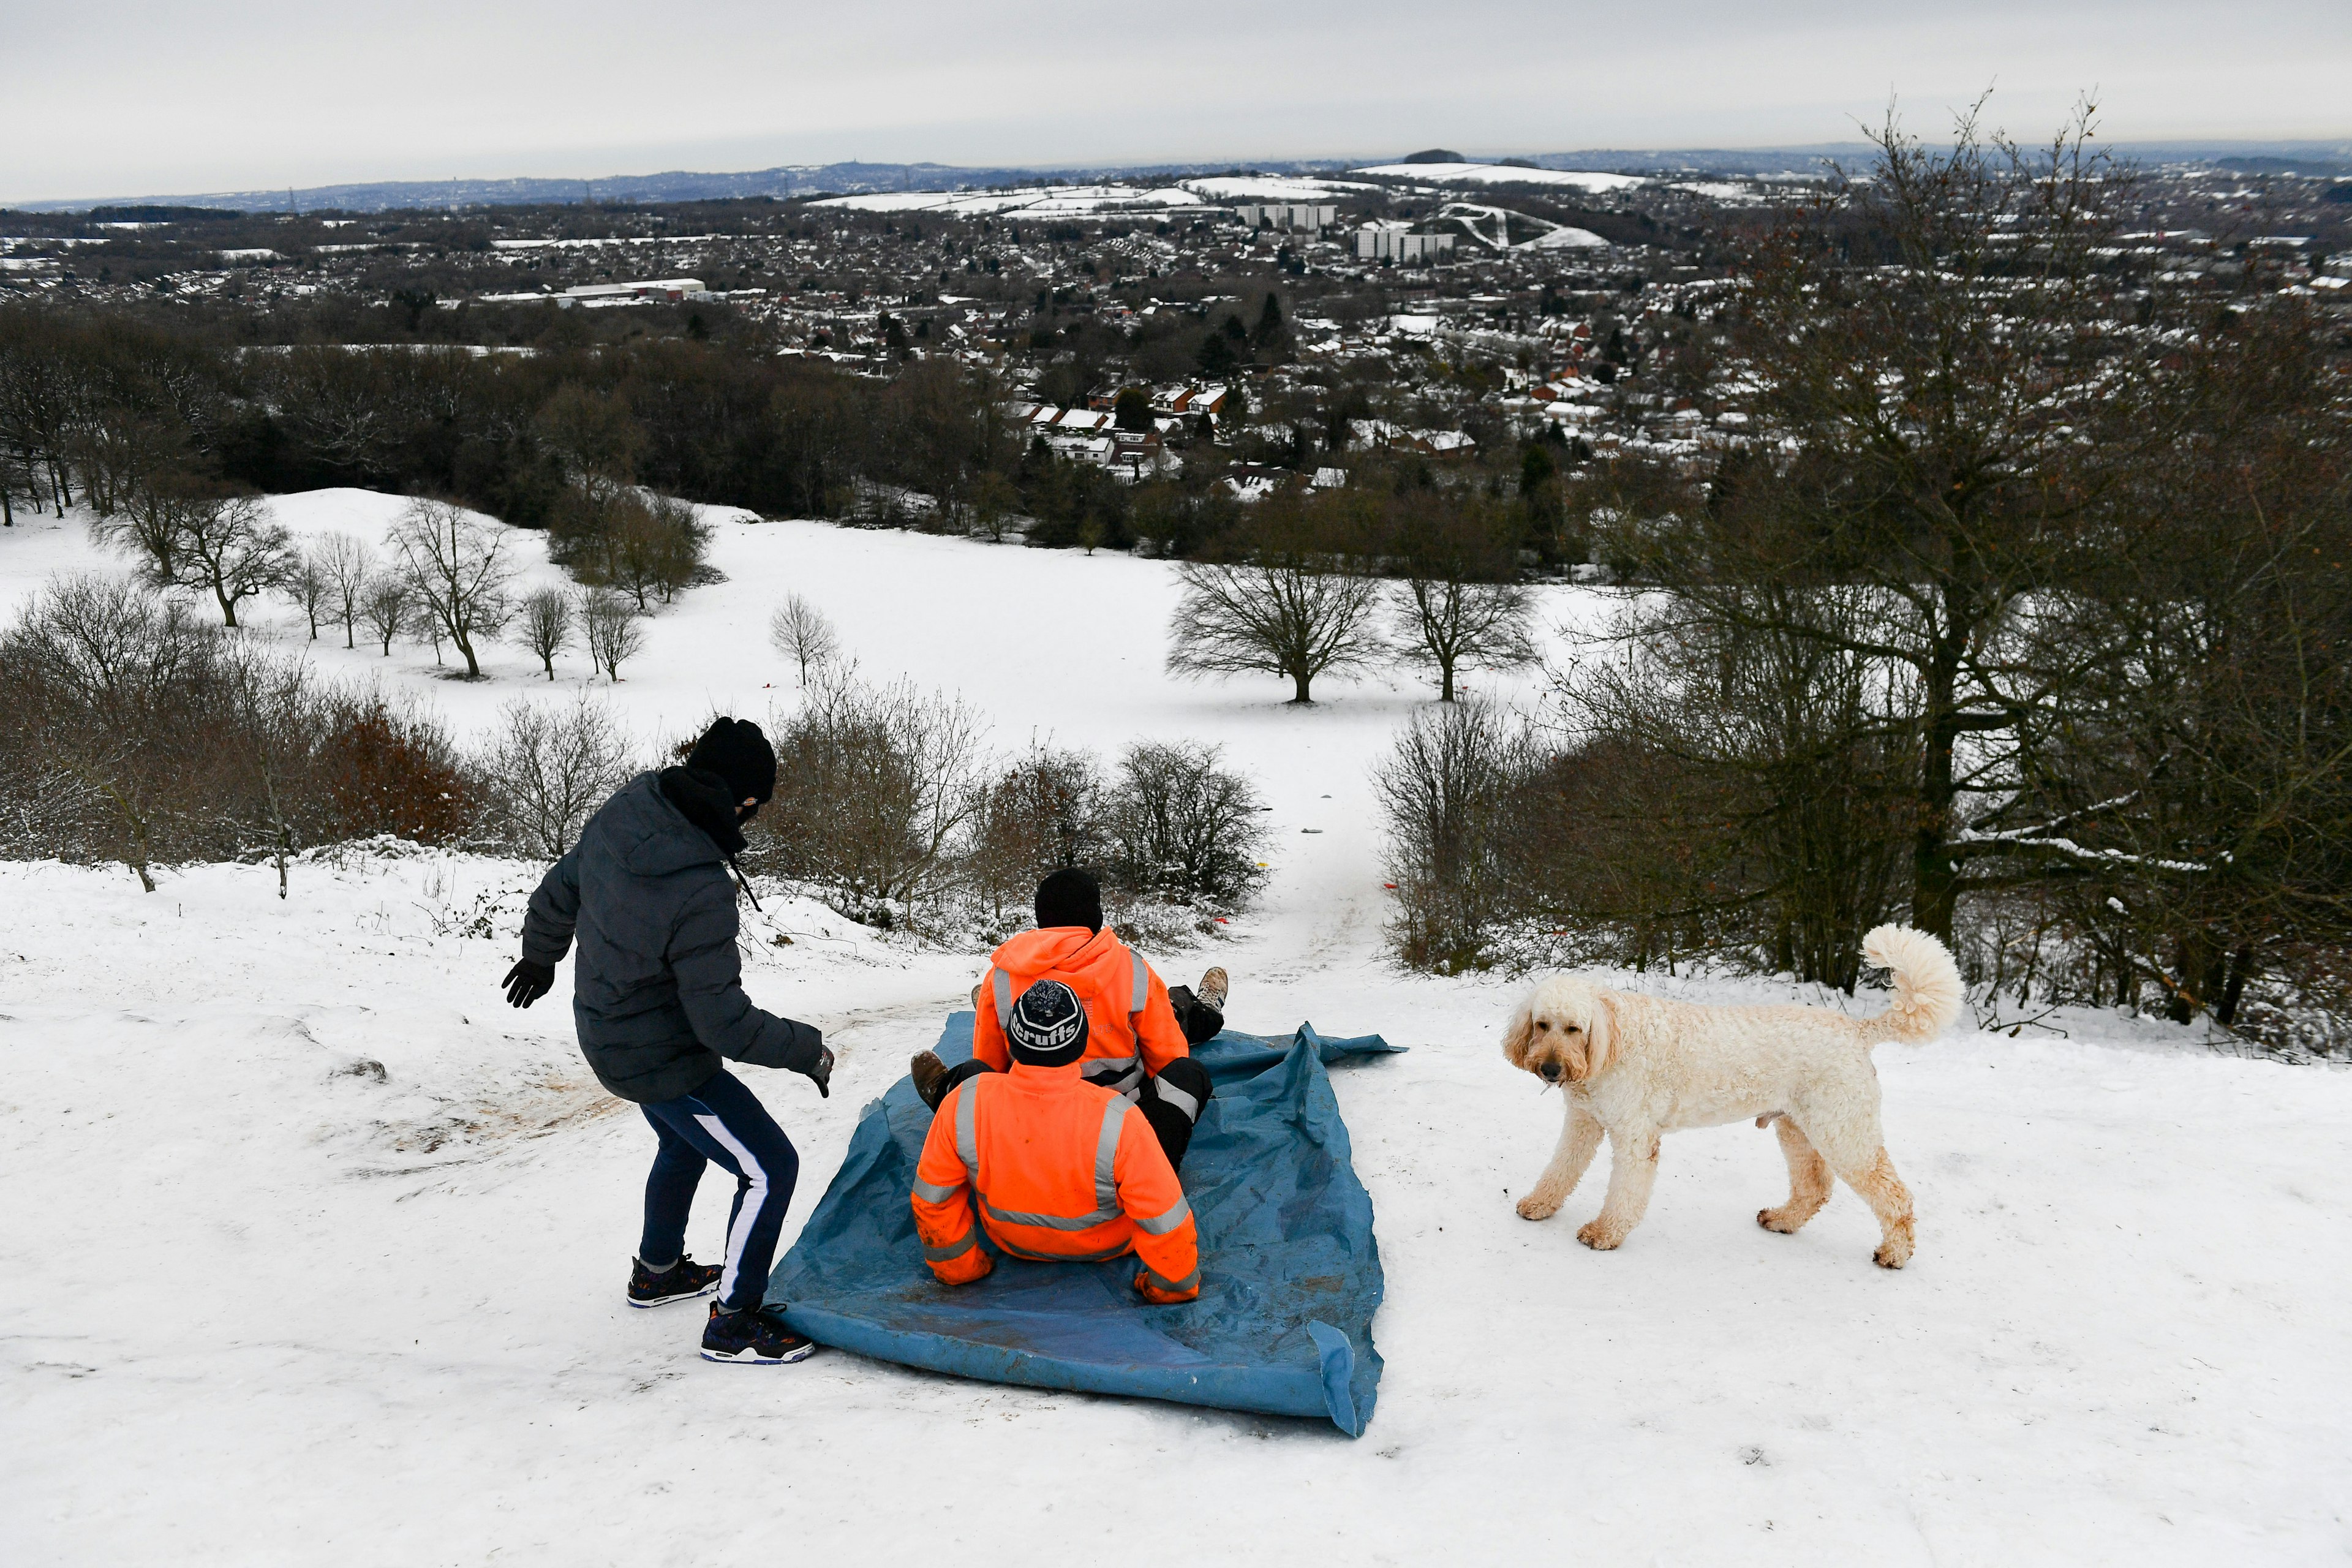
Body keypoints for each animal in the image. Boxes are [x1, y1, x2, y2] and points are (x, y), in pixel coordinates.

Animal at [1505, 926, 1966, 1269]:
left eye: (1574, 1028)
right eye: (1542, 1024)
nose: (1550, 1069)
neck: (1613, 1039)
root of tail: (1858, 1030)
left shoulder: (1635, 1137)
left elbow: (1624, 1193)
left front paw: (1605, 1234)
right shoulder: (1583, 1122)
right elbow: (1561, 1169)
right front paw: (1539, 1205)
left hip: (1843, 1131)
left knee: (1894, 1195)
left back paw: (1895, 1254)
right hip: (1797, 1127)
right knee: (1815, 1187)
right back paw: (1781, 1221)